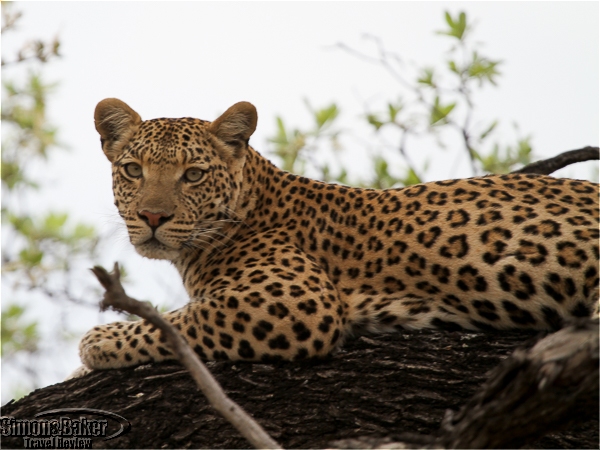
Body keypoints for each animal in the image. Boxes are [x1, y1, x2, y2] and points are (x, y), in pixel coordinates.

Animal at [79, 97, 600, 370]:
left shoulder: (297, 300)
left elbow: (181, 321)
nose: (152, 216)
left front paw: (99, 341)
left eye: (193, 175)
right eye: (132, 170)